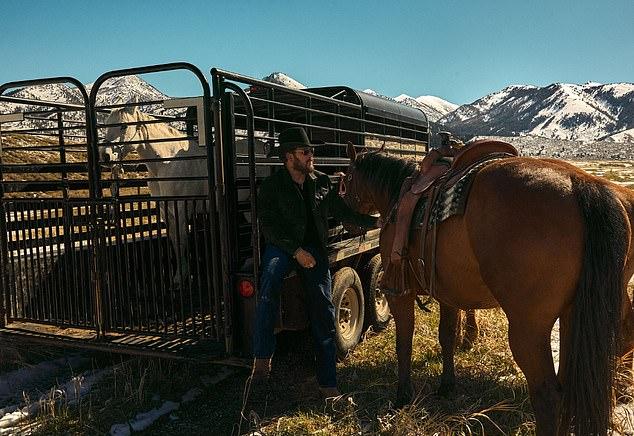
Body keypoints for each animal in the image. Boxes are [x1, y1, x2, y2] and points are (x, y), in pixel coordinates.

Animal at [344, 141, 634, 434]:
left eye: (345, 180)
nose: (347, 223)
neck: (398, 197)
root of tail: (581, 184)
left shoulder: (398, 293)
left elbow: (404, 341)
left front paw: (403, 396)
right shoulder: (447, 293)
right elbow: (446, 335)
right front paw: (447, 384)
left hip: (529, 328)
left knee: (548, 394)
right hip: (575, 314)